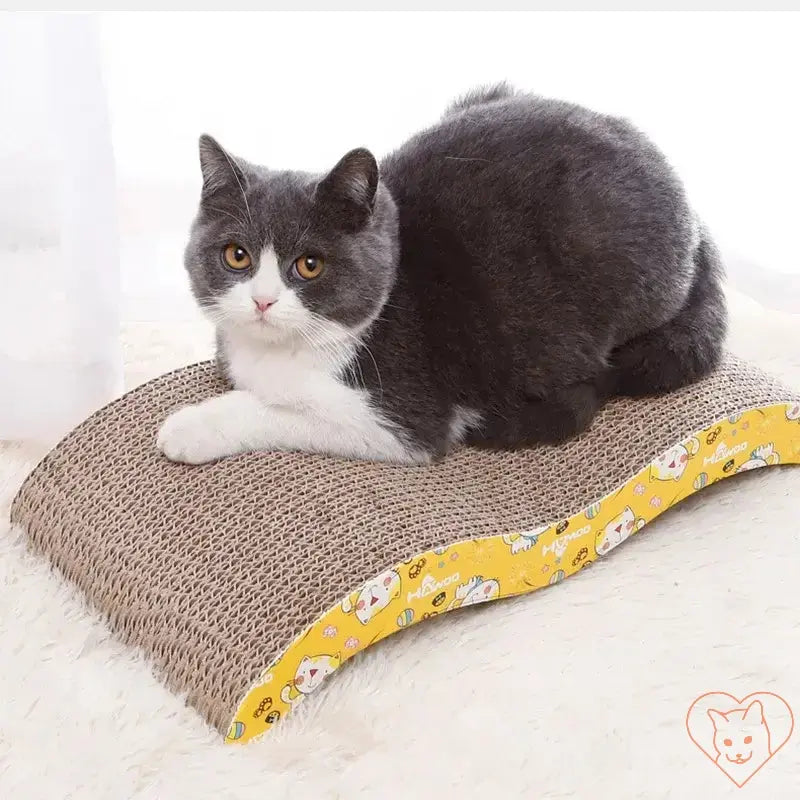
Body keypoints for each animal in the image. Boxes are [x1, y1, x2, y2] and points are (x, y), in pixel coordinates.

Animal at [156, 84, 724, 466]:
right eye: (237, 256)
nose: (263, 301)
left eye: (309, 265)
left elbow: (275, 411)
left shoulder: (401, 420)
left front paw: (189, 427)